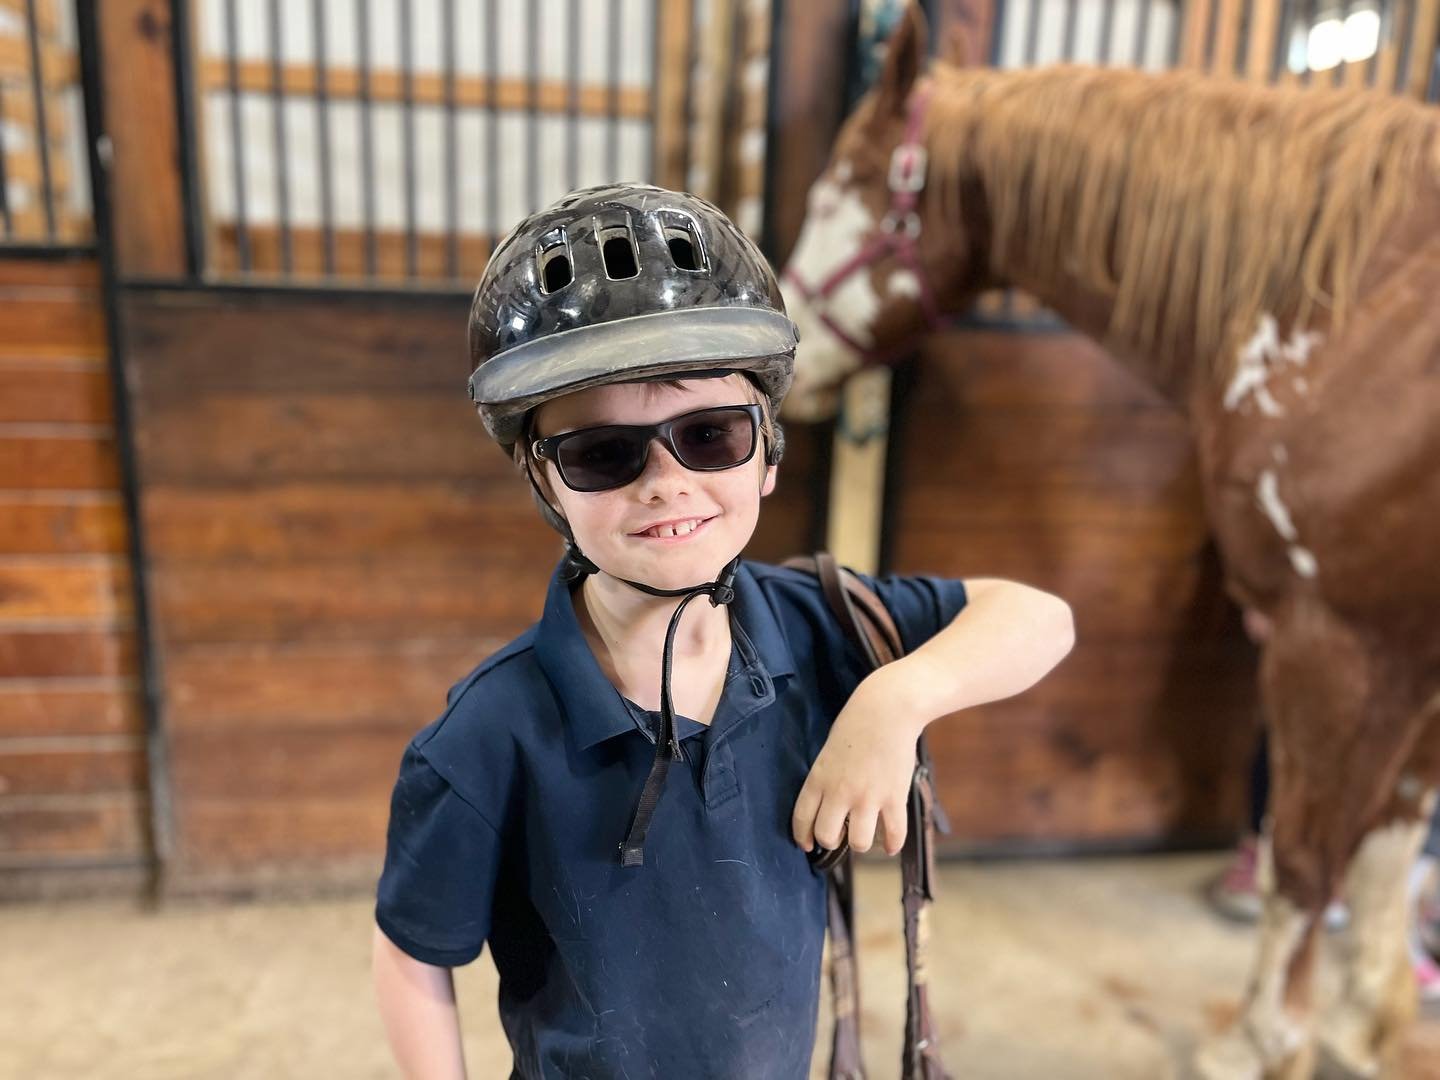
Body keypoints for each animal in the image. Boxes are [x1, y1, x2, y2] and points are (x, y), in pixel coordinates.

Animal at [783, 8, 1440, 1080]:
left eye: (844, 184)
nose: (790, 352)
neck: (1345, 309)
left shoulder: (1338, 641)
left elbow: (1309, 858)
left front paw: (1264, 1040)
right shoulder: (1412, 655)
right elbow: (1393, 837)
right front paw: (1363, 1024)